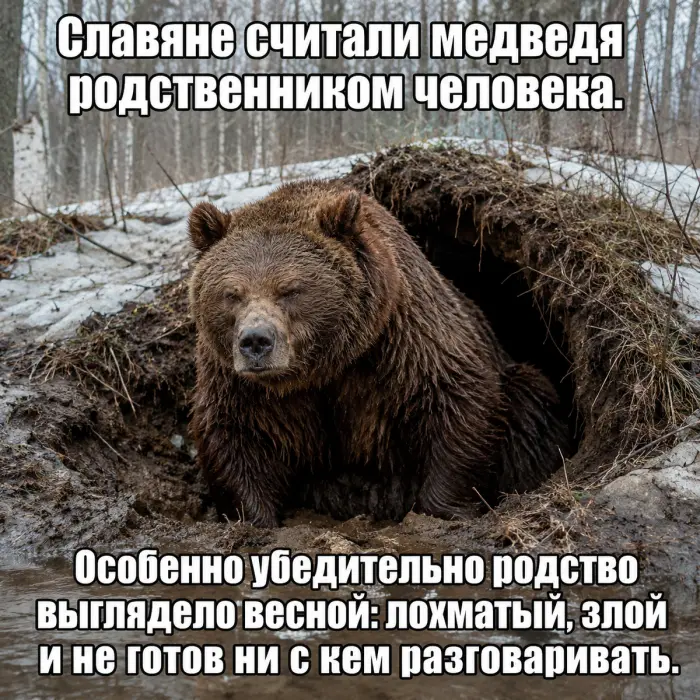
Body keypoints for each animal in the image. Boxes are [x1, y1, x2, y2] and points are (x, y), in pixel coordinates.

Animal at [188, 180, 568, 527]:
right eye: (232, 293)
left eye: (291, 289)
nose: (256, 341)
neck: (323, 368)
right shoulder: (240, 384)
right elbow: (232, 434)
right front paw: (254, 518)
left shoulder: (402, 343)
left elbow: (457, 399)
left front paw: (444, 507)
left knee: (529, 401)